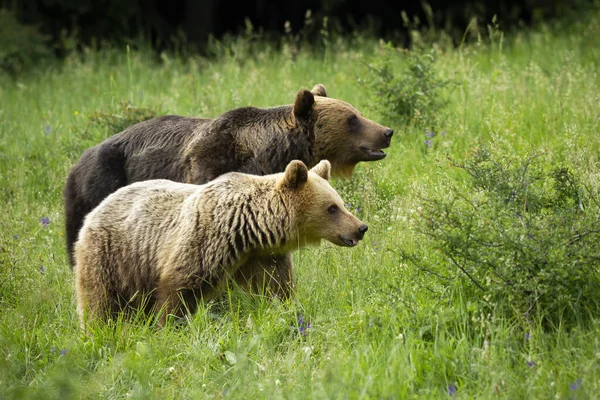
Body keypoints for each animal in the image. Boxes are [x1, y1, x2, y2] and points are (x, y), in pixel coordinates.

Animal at [64, 84, 394, 296]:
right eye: (352, 119)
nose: (387, 132)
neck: (267, 154)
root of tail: (77, 161)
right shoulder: (209, 165)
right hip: (97, 186)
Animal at [75, 159, 366, 328]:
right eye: (332, 208)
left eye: (341, 203)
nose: (360, 228)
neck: (250, 229)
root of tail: (95, 210)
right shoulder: (204, 241)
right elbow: (178, 290)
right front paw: (168, 327)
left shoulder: (264, 256)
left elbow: (276, 288)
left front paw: (287, 309)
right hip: (113, 254)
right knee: (100, 301)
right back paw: (98, 330)